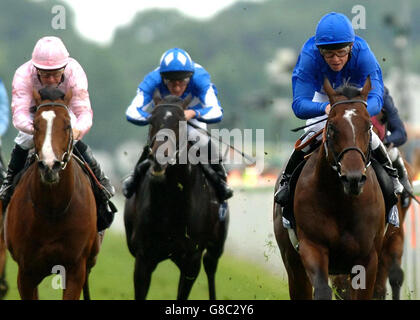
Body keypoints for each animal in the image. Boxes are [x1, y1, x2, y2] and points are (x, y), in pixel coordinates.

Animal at [4, 87, 99, 300]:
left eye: (67, 125)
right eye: (35, 125)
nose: (50, 166)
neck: (53, 209)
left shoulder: (75, 269)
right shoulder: (26, 272)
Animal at [124, 95, 230, 300]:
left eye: (180, 122)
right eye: (151, 121)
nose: (159, 157)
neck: (171, 203)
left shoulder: (191, 260)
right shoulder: (144, 257)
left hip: (216, 245)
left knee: (211, 267)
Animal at [274, 77, 386, 300]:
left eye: (368, 126)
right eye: (332, 127)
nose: (353, 178)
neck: (342, 203)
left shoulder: (368, 258)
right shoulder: (312, 246)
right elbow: (322, 290)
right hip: (292, 262)